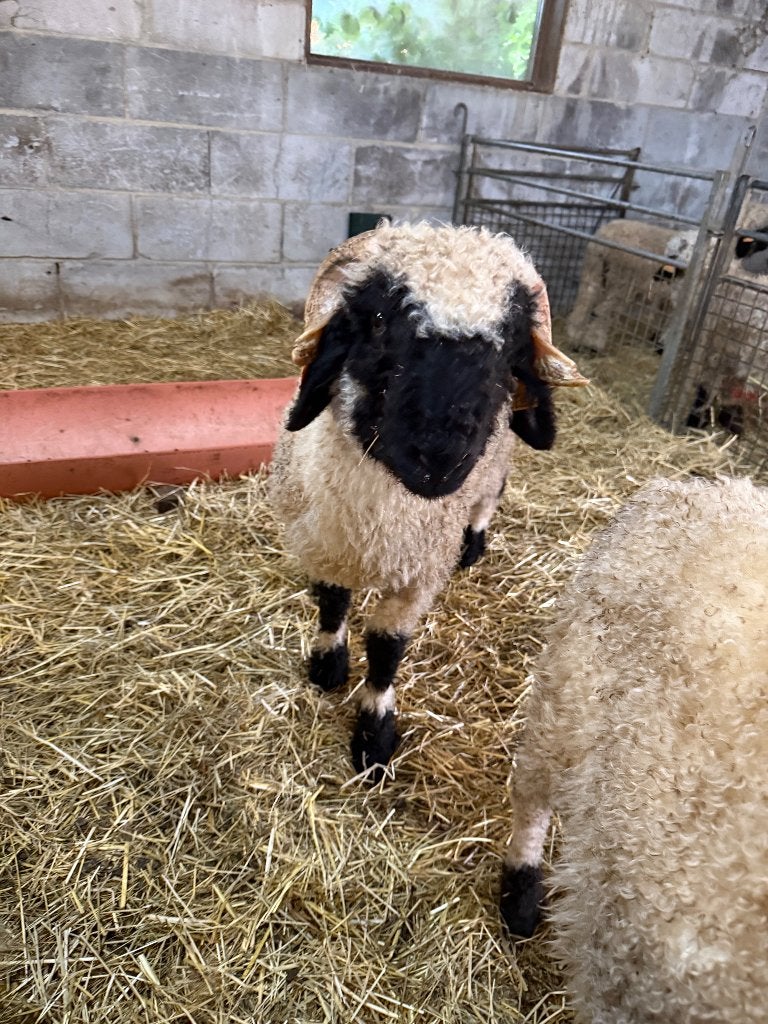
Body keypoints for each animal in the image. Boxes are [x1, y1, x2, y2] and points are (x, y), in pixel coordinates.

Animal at [269, 221, 588, 780]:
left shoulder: (418, 574)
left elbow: (386, 649)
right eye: (377, 321)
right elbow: (332, 606)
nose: (439, 455)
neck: (377, 530)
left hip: (496, 466)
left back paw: (473, 546)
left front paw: (375, 735)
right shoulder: (322, 546)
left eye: (509, 343)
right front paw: (327, 666)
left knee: (488, 499)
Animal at [566, 219, 697, 353]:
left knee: (585, 301)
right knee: (603, 311)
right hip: (623, 282)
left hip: (593, 270)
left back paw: (574, 337)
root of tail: (606, 236)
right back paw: (594, 343)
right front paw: (663, 344)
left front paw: (657, 339)